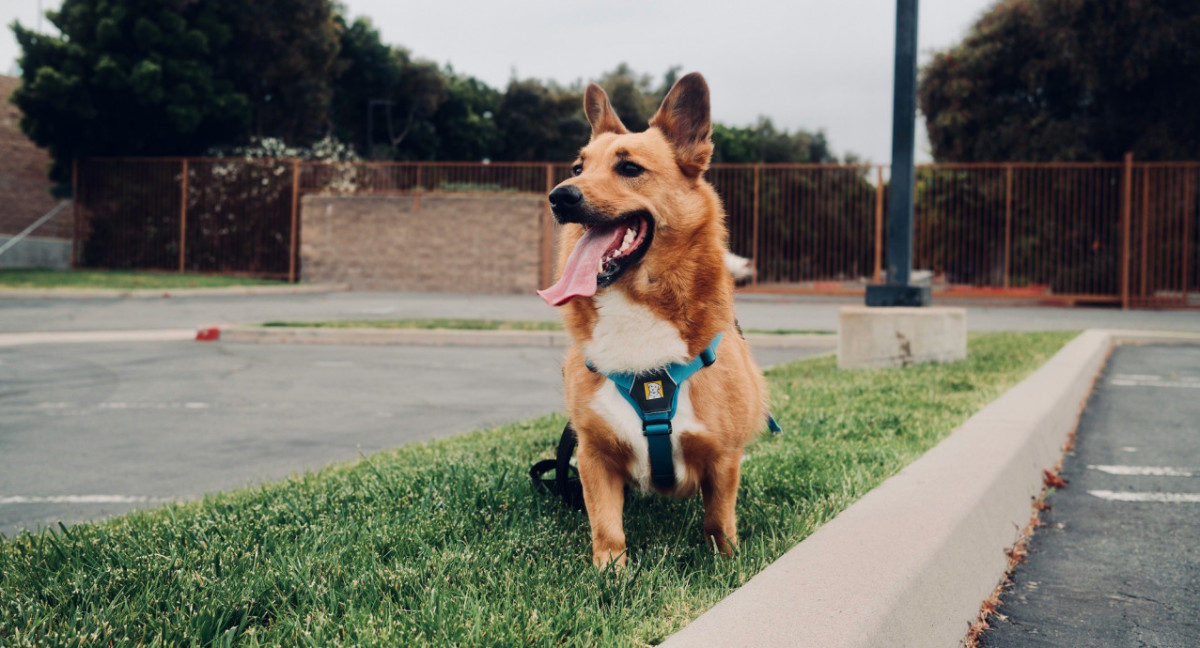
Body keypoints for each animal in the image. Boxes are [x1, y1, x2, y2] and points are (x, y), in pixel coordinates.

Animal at [537, 72, 768, 566]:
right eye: (578, 168)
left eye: (629, 169)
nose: (559, 197)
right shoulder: (593, 455)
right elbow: (606, 529)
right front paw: (611, 573)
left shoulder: (723, 458)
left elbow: (718, 521)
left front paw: (725, 563)